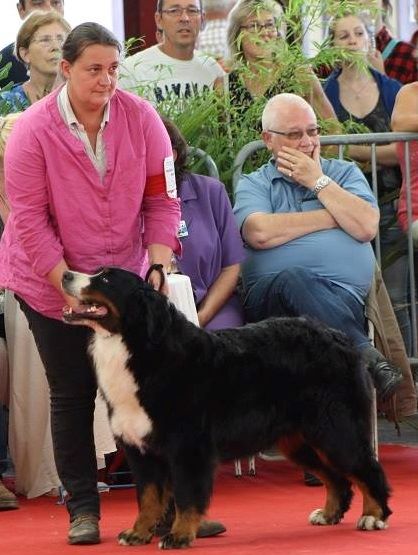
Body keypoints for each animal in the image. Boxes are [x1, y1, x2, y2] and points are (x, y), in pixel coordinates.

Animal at [62, 268, 392, 548]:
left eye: (106, 279)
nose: (65, 274)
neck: (139, 347)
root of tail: (340, 337)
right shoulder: (140, 450)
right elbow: (148, 498)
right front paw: (138, 532)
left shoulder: (188, 447)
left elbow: (185, 496)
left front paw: (179, 535)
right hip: (299, 440)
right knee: (338, 478)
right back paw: (329, 513)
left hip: (336, 430)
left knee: (367, 468)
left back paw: (374, 515)